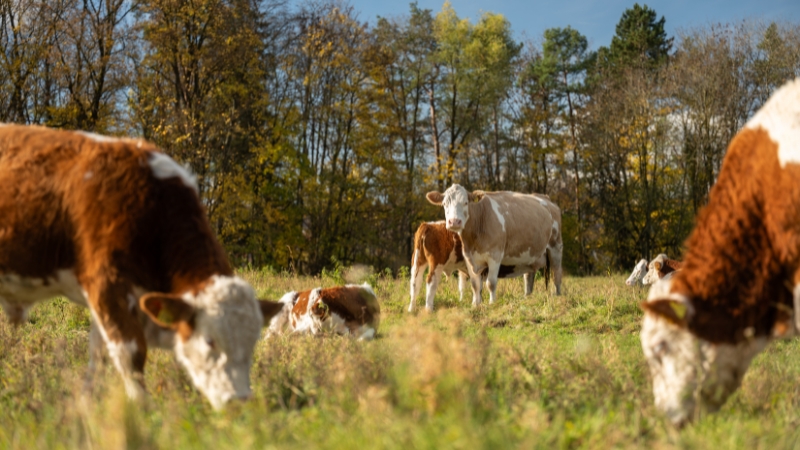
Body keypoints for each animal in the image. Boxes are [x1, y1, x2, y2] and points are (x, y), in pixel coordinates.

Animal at [0, 124, 284, 410]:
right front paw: (142, 411)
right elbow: (131, 354)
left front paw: (86, 406)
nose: (240, 401)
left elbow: (99, 354)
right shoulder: (107, 285)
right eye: (209, 340)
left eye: (252, 341)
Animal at [407, 221, 547, 312]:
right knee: (431, 282)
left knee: (415, 283)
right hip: (436, 264)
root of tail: (428, 225)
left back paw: (412, 309)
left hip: (418, 262)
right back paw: (428, 308)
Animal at [425, 186, 563, 305]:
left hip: (555, 246)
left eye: (466, 203)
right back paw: (527, 297)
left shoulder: (495, 255)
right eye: (444, 204)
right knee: (528, 278)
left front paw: (492, 303)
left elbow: (490, 283)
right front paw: (476, 304)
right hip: (530, 255)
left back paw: (558, 296)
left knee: (557, 274)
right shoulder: (469, 258)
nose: (454, 222)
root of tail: (546, 198)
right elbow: (475, 285)